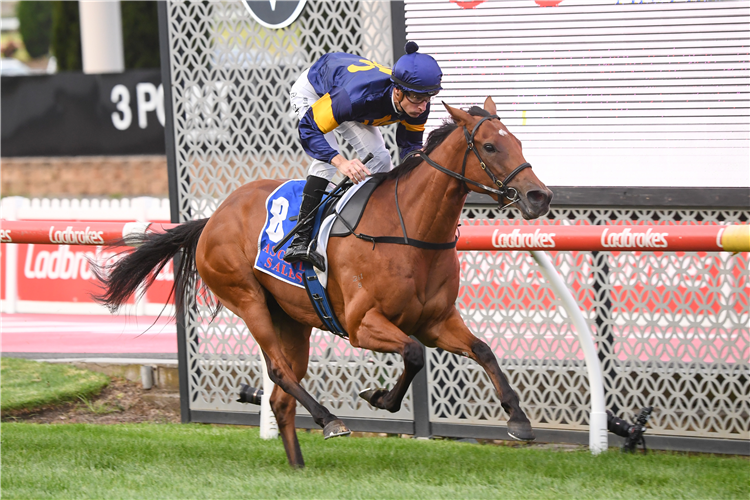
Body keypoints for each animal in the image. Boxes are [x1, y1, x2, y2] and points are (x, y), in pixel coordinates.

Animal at [94, 97, 556, 468]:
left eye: (518, 142)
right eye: (490, 146)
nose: (540, 196)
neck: (410, 232)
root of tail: (212, 217)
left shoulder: (436, 321)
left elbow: (483, 350)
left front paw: (519, 420)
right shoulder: (361, 325)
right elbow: (412, 353)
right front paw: (378, 398)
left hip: (293, 322)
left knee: (281, 397)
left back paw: (298, 465)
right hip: (247, 300)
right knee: (279, 373)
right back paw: (329, 419)